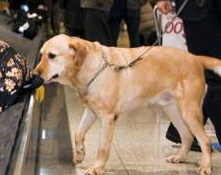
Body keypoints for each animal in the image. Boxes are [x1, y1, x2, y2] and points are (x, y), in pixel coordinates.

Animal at [33, 34, 221, 175]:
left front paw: (97, 167)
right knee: (187, 136)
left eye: (52, 56)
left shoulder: (108, 117)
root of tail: (195, 58)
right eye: (41, 54)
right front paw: (80, 153)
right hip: (172, 109)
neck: (94, 68)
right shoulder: (90, 111)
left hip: (189, 111)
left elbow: (103, 148)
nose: (34, 74)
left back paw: (205, 166)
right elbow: (78, 134)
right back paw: (180, 157)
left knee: (205, 141)